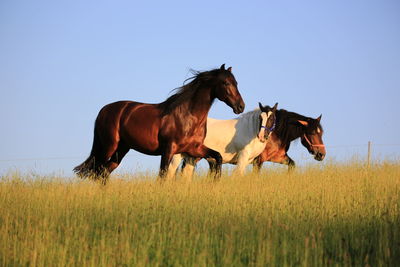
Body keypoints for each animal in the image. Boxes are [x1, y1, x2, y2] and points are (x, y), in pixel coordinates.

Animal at [73, 63, 245, 183]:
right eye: (225, 83)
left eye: (236, 82)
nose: (240, 106)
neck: (188, 116)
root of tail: (104, 110)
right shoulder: (168, 150)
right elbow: (162, 176)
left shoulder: (194, 149)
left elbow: (218, 158)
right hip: (109, 146)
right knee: (98, 171)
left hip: (120, 150)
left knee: (103, 173)